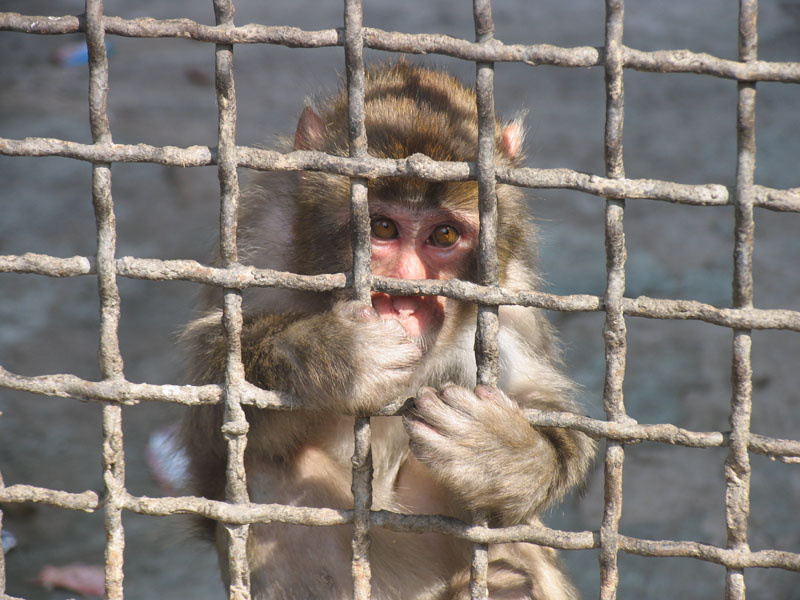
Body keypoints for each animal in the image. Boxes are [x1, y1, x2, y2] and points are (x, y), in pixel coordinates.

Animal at [181, 62, 595, 600]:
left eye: (444, 235)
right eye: (381, 228)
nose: (404, 297)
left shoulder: (512, 298)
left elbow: (547, 408)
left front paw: (506, 456)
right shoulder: (261, 237)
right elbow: (211, 428)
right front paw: (339, 357)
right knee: (268, 471)